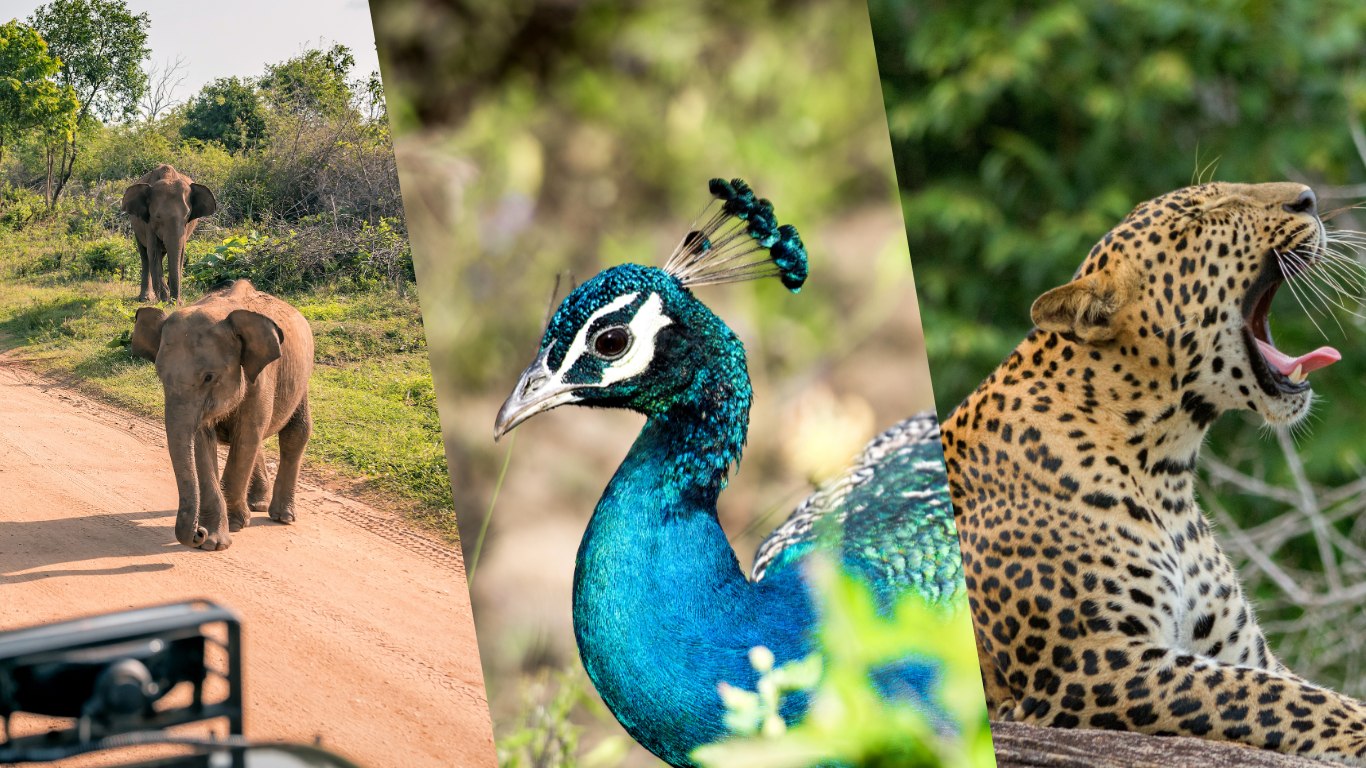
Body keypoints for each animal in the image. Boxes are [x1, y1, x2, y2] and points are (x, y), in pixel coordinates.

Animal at [121, 164, 217, 304]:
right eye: (157, 216)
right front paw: (164, 298)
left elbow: (180, 253)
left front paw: (173, 300)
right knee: (145, 255)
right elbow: (153, 251)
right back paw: (145, 298)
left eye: (187, 215)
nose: (175, 301)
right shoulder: (148, 223)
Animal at [131, 279, 314, 551]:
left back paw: (282, 517)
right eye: (160, 376)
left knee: (294, 433)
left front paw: (236, 524)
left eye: (209, 377)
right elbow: (202, 441)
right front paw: (214, 541)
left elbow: (247, 435)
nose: (198, 533)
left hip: (301, 380)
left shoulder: (262, 378)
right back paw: (256, 505)